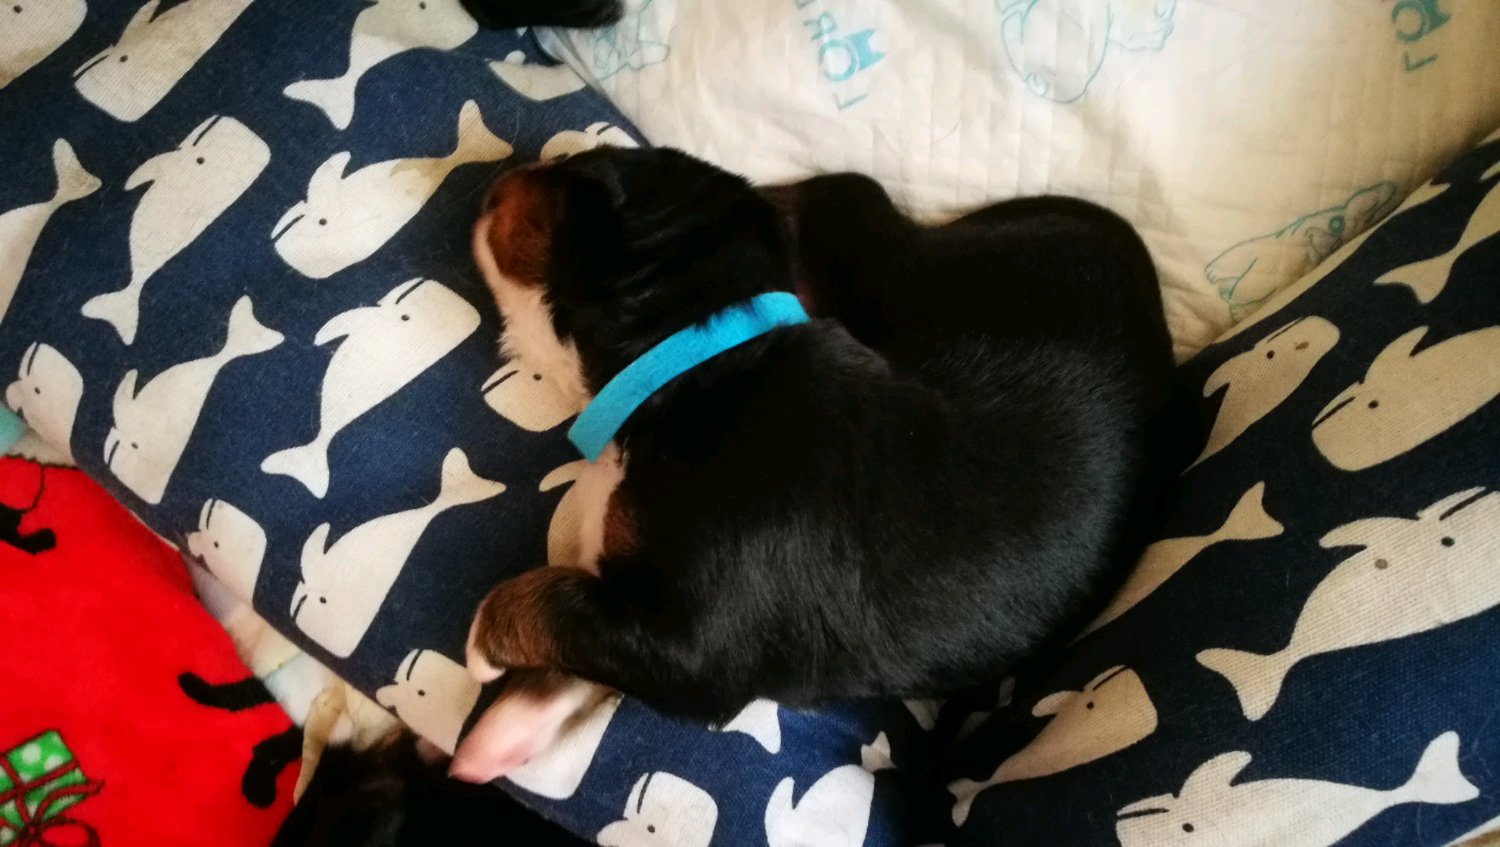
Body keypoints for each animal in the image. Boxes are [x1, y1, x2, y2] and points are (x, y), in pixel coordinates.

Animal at [451, 147, 1174, 782]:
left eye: (570, 174)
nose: (496, 180)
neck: (701, 362)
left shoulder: (694, 644)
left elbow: (555, 599)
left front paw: (483, 648)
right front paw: (498, 735)